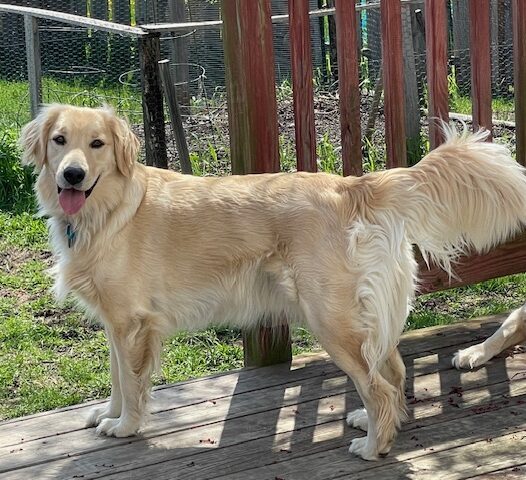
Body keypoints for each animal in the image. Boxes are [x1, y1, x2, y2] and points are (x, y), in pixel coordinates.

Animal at [20, 105, 526, 462]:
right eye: (60, 140)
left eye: (98, 144)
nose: (72, 174)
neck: (108, 209)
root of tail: (354, 186)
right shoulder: (116, 323)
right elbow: (116, 378)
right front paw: (108, 415)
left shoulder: (131, 324)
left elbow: (131, 382)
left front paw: (125, 426)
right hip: (361, 319)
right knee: (394, 373)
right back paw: (370, 423)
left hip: (329, 321)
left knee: (379, 385)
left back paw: (374, 447)